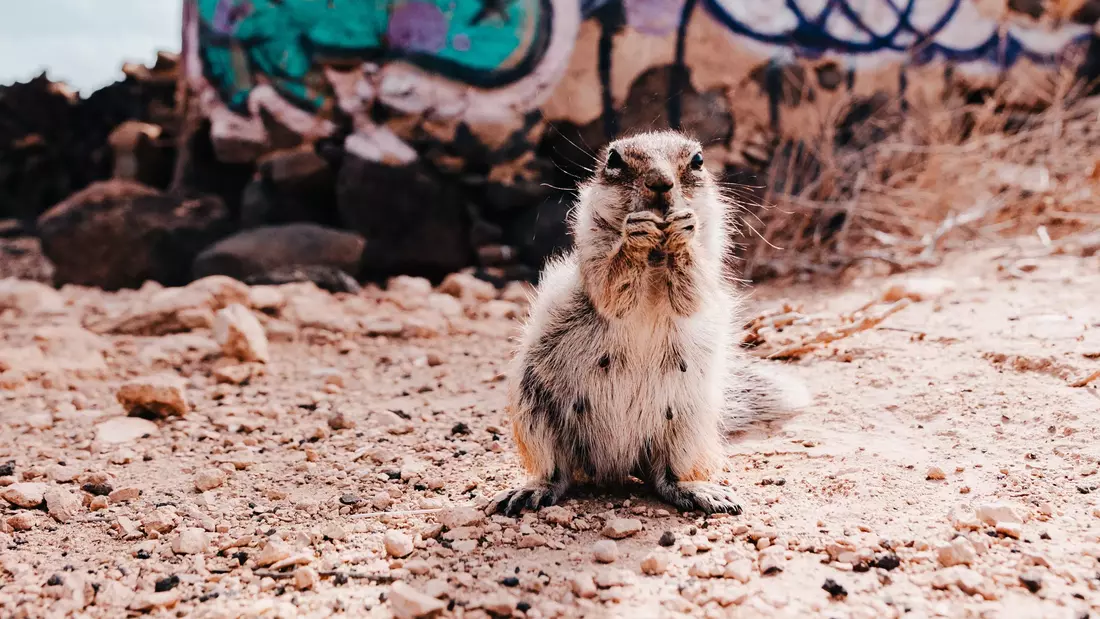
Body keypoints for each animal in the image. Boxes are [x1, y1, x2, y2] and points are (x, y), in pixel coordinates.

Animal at [490, 130, 809, 518]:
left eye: (698, 160)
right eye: (613, 159)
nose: (661, 183)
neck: (657, 255)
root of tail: (616, 463)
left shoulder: (711, 245)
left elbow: (694, 289)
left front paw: (683, 231)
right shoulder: (592, 243)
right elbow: (609, 285)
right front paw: (634, 235)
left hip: (688, 425)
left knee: (663, 477)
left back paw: (699, 491)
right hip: (534, 412)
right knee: (559, 472)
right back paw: (531, 491)